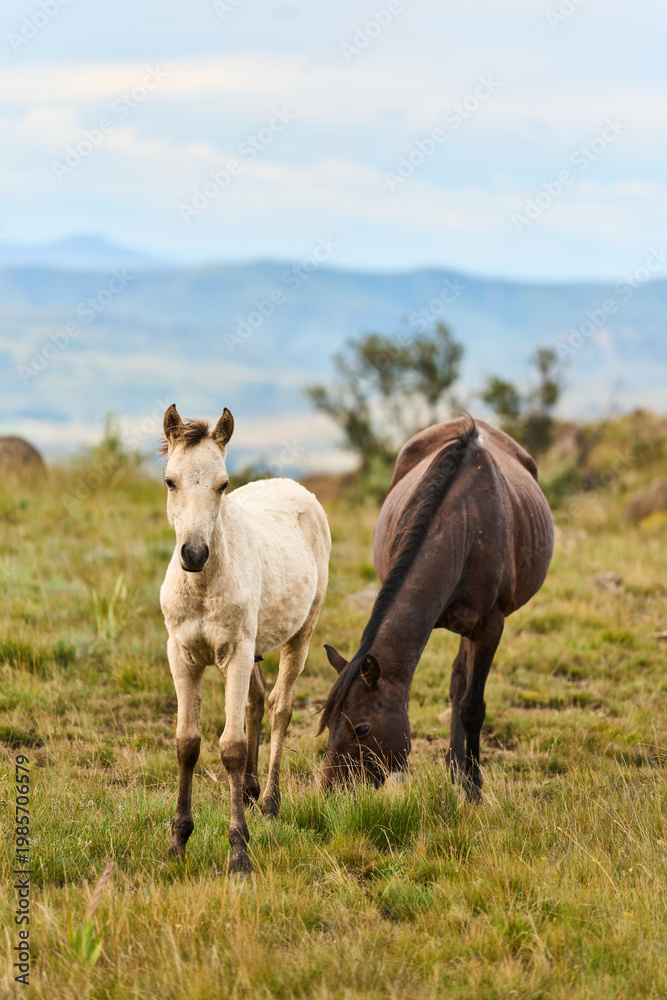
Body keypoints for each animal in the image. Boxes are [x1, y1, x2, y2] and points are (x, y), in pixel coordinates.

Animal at [159, 404, 331, 873]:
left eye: (223, 484)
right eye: (169, 480)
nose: (194, 553)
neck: (203, 588)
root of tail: (293, 485)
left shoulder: (235, 654)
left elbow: (231, 748)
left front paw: (238, 852)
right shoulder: (181, 655)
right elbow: (187, 743)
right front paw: (178, 842)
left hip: (301, 632)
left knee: (279, 707)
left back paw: (269, 801)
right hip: (254, 647)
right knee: (255, 703)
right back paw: (251, 793)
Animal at [318, 415, 553, 795]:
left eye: (363, 728)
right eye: (328, 724)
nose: (331, 792)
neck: (467, 527)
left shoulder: (490, 626)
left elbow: (472, 705)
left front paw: (473, 787)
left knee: (462, 688)